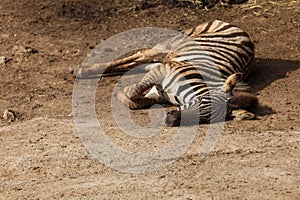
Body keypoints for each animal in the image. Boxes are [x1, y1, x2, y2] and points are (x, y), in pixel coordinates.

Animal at [74, 19, 258, 126]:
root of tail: (244, 32)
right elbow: (134, 92)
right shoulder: (163, 71)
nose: (171, 120)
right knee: (139, 55)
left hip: (166, 57)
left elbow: (135, 102)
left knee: (140, 63)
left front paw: (123, 95)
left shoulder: (158, 93)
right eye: (201, 100)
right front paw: (123, 92)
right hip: (170, 46)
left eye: (205, 120)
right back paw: (80, 70)